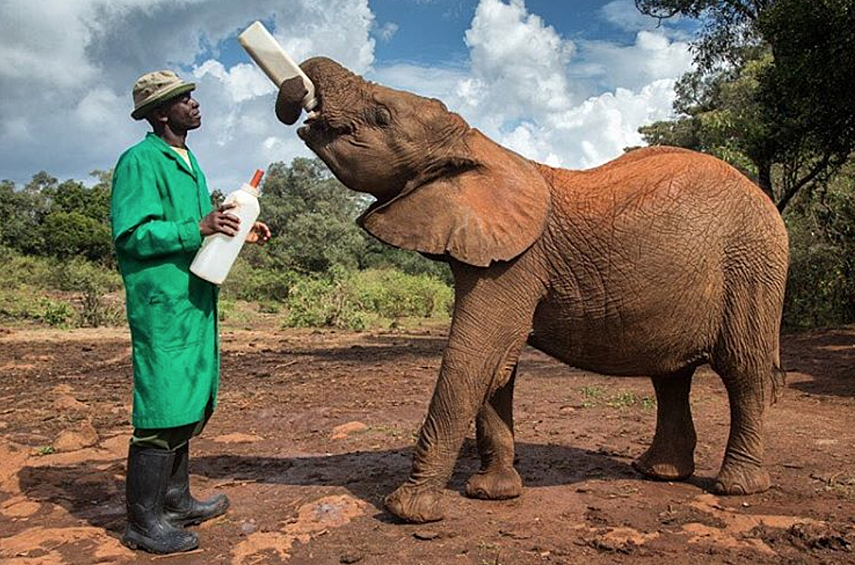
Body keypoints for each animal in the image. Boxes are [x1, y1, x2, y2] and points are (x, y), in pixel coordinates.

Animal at [276, 55, 788, 524]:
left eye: (382, 116)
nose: (297, 93)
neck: (477, 143)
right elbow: (497, 368)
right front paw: (491, 494)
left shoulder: (517, 262)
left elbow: (475, 357)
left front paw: (407, 511)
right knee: (671, 376)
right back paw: (657, 473)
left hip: (753, 266)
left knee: (743, 370)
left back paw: (735, 487)